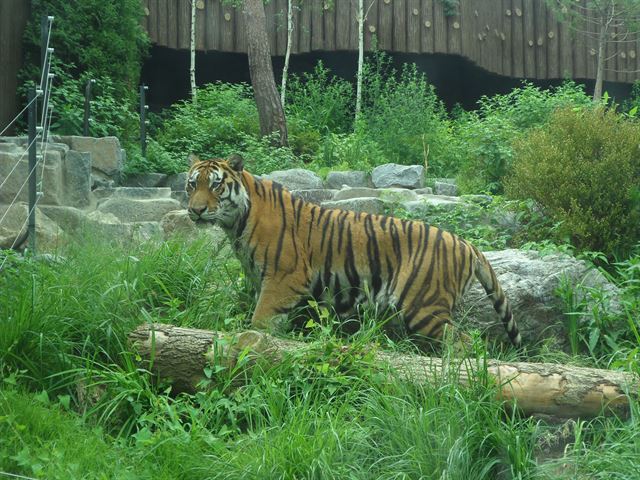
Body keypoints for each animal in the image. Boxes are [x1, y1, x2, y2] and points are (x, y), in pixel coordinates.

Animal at [185, 156, 520, 346]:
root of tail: (467, 243)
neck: (236, 224)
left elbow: (260, 322)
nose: (196, 211)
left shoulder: (283, 281)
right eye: (191, 185)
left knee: (465, 344)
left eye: (215, 185)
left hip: (424, 305)